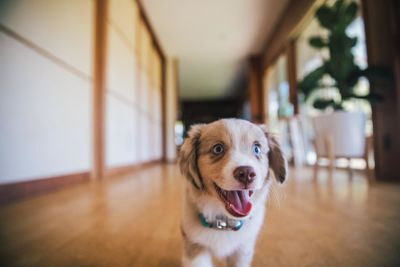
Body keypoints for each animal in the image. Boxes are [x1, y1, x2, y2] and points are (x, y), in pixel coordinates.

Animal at [179, 119, 288, 267]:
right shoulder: (194, 248)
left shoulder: (243, 250)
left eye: (257, 148)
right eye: (218, 149)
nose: (246, 173)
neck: (224, 222)